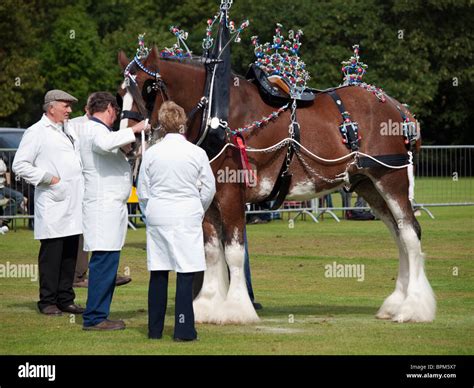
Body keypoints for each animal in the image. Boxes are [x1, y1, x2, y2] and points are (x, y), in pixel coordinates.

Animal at [117, 47, 434, 324]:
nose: (128, 144)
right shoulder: (207, 200)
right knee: (398, 235)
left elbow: (233, 251)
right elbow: (212, 251)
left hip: (390, 179)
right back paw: (395, 304)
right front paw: (207, 306)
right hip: (367, 185)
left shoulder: (231, 194)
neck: (218, 118)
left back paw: (413, 308)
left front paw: (236, 310)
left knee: (410, 234)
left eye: (148, 87)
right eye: (121, 93)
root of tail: (397, 106)